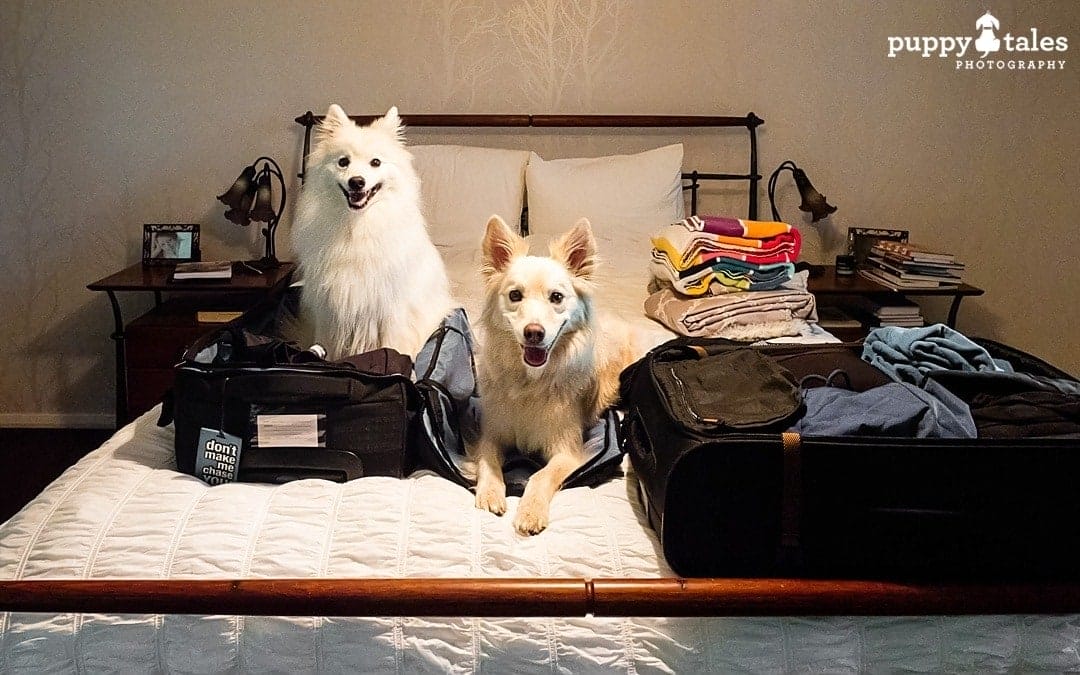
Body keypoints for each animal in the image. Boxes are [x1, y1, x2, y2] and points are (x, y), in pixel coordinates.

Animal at [289, 104, 453, 358]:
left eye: (375, 162)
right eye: (343, 162)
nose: (357, 182)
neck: (357, 227)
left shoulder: (390, 310)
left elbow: (392, 346)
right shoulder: (330, 314)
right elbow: (328, 348)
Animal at [473, 214, 639, 531]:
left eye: (557, 297)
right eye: (515, 295)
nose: (534, 333)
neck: (529, 381)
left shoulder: (568, 451)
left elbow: (540, 475)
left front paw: (530, 511)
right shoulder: (492, 433)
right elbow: (488, 460)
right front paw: (489, 492)